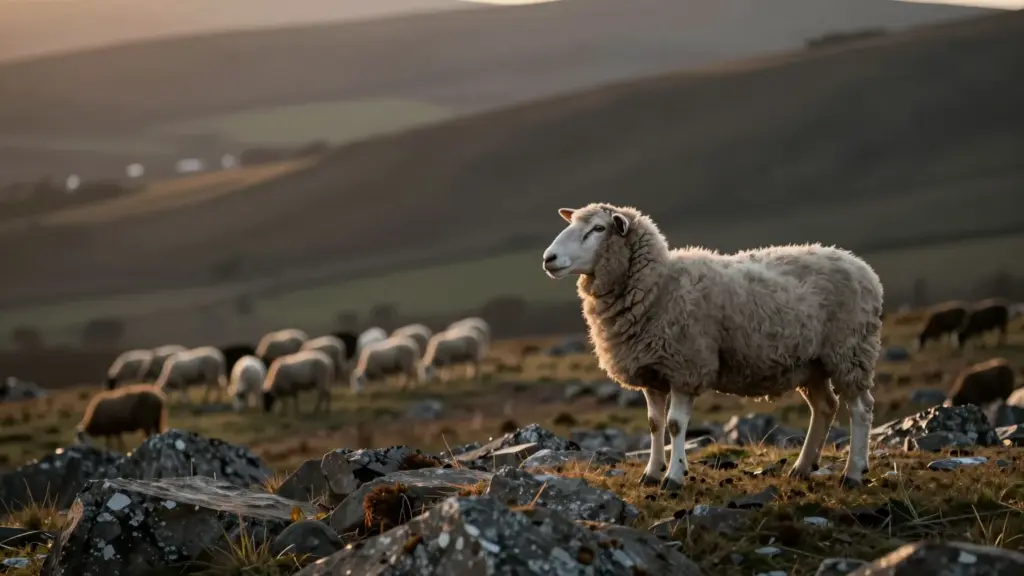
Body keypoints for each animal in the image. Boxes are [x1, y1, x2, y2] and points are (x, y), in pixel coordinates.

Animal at [542, 203, 883, 490]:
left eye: (598, 229)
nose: (548, 258)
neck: (659, 285)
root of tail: (863, 267)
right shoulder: (651, 369)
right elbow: (654, 424)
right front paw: (651, 473)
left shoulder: (685, 365)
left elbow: (675, 425)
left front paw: (674, 476)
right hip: (812, 363)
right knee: (825, 406)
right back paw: (801, 467)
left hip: (849, 351)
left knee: (861, 409)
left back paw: (853, 473)